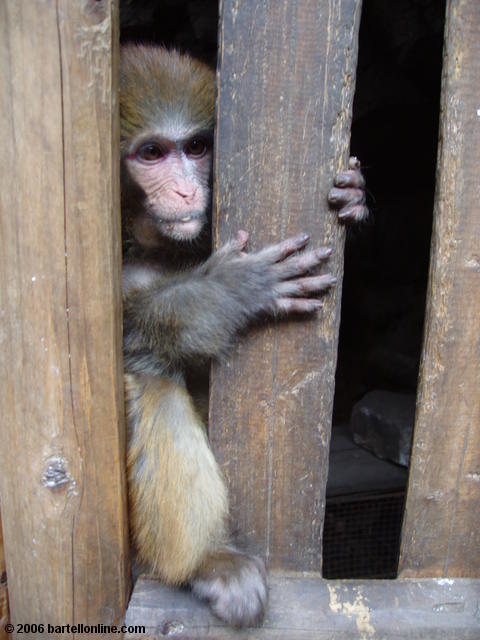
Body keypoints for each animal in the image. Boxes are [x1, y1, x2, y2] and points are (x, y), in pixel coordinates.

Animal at [119, 47, 364, 628]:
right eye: (152, 153)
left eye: (195, 148)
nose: (186, 189)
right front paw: (229, 292)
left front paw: (355, 195)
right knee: (150, 374)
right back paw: (205, 561)